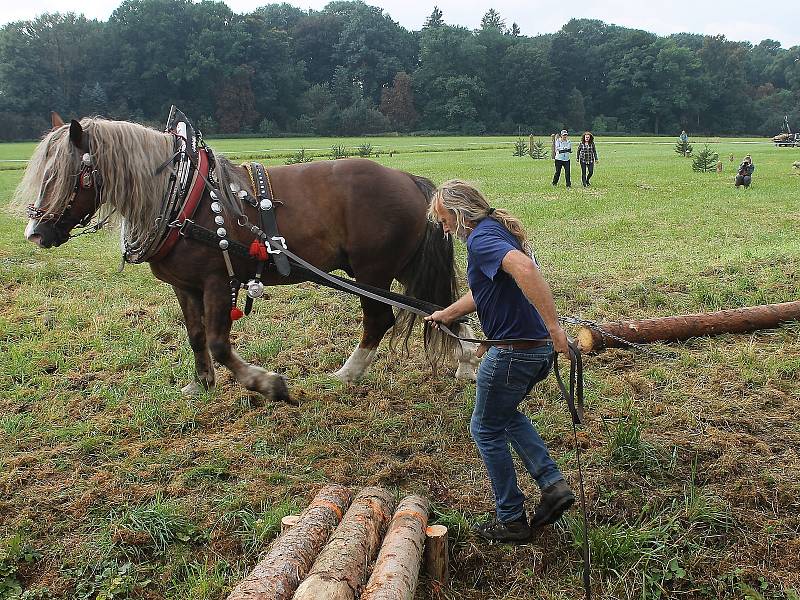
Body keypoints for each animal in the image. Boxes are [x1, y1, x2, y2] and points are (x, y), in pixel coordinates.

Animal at [15, 113, 478, 404]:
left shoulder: (218, 282)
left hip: (373, 271)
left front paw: (268, 384)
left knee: (381, 319)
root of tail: (409, 180)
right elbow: (196, 336)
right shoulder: (186, 287)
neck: (182, 196)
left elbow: (220, 343)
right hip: (401, 266)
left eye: (68, 175)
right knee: (439, 308)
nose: (35, 233)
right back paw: (467, 361)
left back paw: (348, 374)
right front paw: (201, 384)